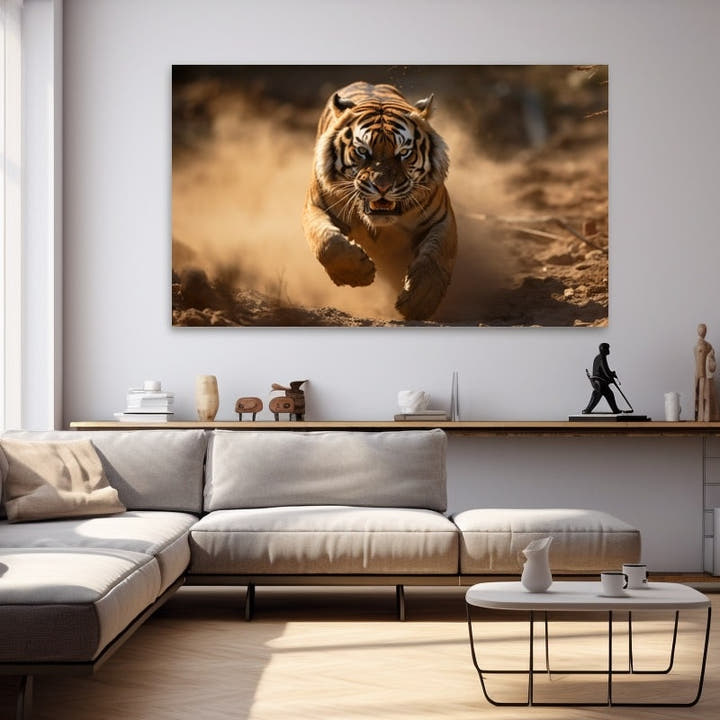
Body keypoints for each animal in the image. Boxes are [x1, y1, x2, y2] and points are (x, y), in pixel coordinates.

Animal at [302, 81, 457, 321]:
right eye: (362, 151)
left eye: (404, 152)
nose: (382, 186)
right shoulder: (316, 207)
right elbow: (328, 243)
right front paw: (357, 274)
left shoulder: (442, 219)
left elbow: (436, 256)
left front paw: (420, 302)